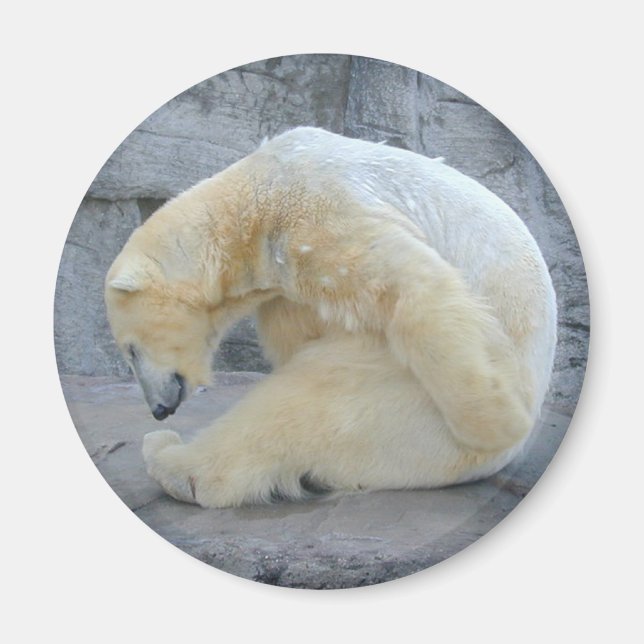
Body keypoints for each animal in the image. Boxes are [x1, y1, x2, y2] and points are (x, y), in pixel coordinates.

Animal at [105, 127, 557, 508]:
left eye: (130, 351)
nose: (159, 408)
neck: (253, 198)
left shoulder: (318, 211)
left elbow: (415, 284)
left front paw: (498, 423)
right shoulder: (285, 275)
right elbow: (304, 327)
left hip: (406, 409)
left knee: (301, 408)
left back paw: (166, 454)